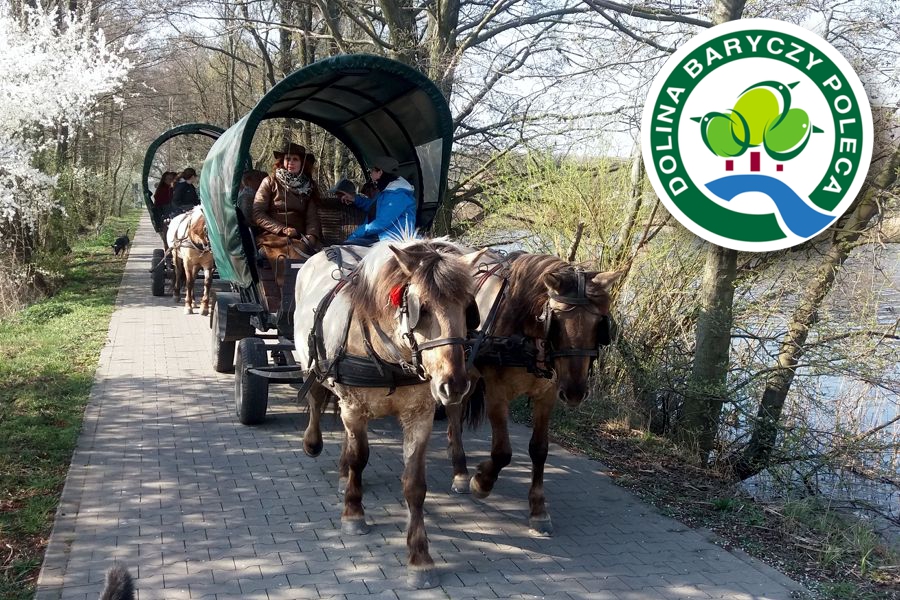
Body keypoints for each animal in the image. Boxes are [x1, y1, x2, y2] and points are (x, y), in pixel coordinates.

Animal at [294, 238, 478, 584]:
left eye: (468, 308)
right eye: (422, 308)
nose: (455, 385)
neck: (390, 356)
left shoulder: (420, 415)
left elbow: (414, 484)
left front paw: (419, 557)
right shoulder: (354, 406)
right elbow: (359, 457)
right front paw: (353, 513)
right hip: (311, 365)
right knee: (315, 397)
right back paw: (314, 444)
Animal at [444, 251, 620, 536]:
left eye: (600, 325)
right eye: (555, 322)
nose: (575, 393)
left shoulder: (547, 396)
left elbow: (539, 450)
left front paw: (538, 509)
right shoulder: (497, 392)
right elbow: (502, 451)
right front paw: (481, 481)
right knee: (452, 409)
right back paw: (460, 471)